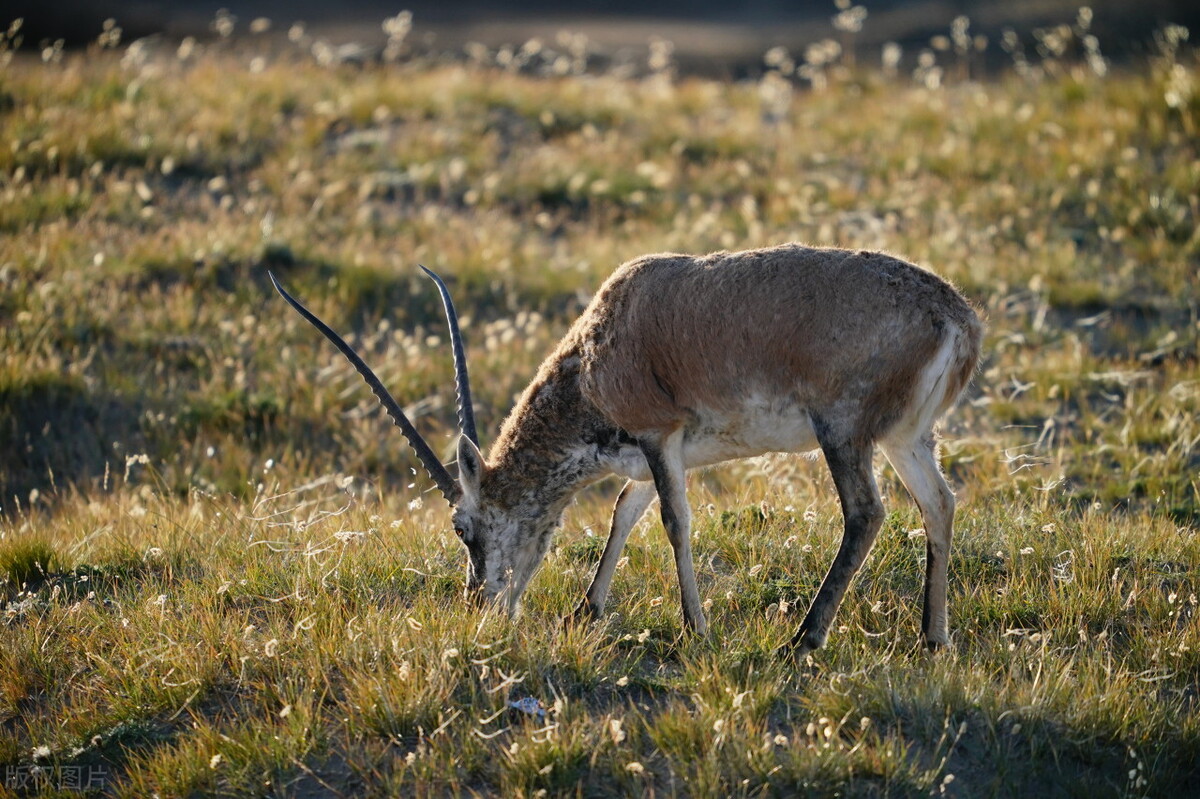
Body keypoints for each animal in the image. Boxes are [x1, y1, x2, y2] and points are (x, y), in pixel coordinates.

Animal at [274, 242, 984, 652]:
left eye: (462, 527)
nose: (484, 603)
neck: (597, 349)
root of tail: (956, 316)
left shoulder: (658, 435)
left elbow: (674, 521)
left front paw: (695, 629)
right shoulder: (651, 457)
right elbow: (624, 512)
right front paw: (587, 610)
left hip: (842, 433)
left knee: (866, 514)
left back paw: (802, 641)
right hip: (905, 440)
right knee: (939, 504)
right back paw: (934, 640)